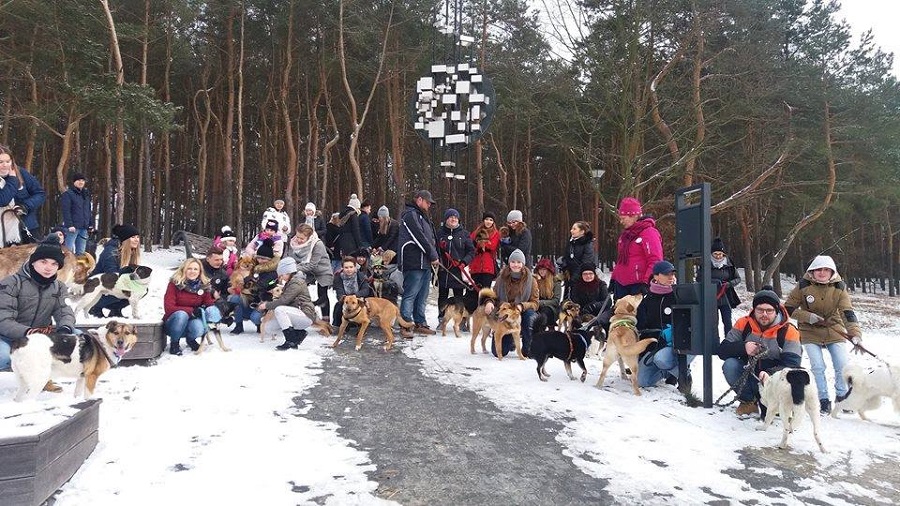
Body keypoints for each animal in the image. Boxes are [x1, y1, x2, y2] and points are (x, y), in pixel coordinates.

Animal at [9, 322, 137, 402]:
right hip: (39, 379)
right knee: (27, 399)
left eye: (127, 333)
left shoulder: (82, 377)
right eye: (116, 332)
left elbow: (77, 394)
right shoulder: (92, 377)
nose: (120, 342)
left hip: (23, 381)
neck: (103, 342)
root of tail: (20, 342)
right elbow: (88, 396)